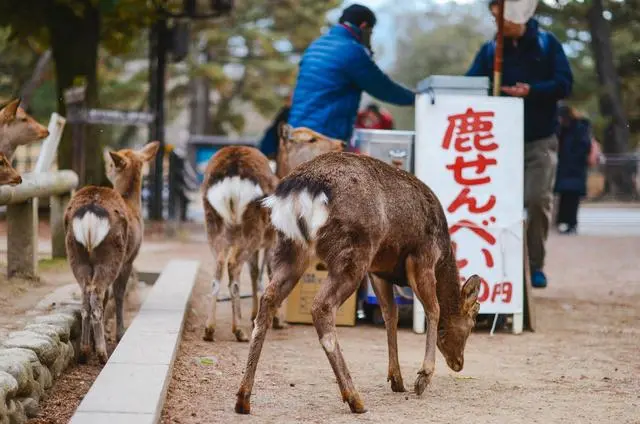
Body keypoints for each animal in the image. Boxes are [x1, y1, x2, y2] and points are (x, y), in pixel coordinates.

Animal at [64, 142, 159, 362]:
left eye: (110, 163)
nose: (106, 167)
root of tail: (90, 211)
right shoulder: (129, 259)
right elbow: (118, 293)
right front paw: (120, 333)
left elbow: (110, 295)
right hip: (111, 254)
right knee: (97, 294)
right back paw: (101, 353)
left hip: (76, 254)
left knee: (86, 295)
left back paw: (84, 351)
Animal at [235, 152, 480, 414]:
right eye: (472, 323)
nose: (459, 363)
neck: (444, 255)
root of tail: (301, 190)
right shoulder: (422, 257)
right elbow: (433, 309)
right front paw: (422, 378)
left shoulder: (379, 271)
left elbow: (390, 314)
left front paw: (397, 379)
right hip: (352, 252)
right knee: (321, 306)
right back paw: (354, 397)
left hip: (288, 248)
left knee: (267, 301)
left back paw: (243, 397)